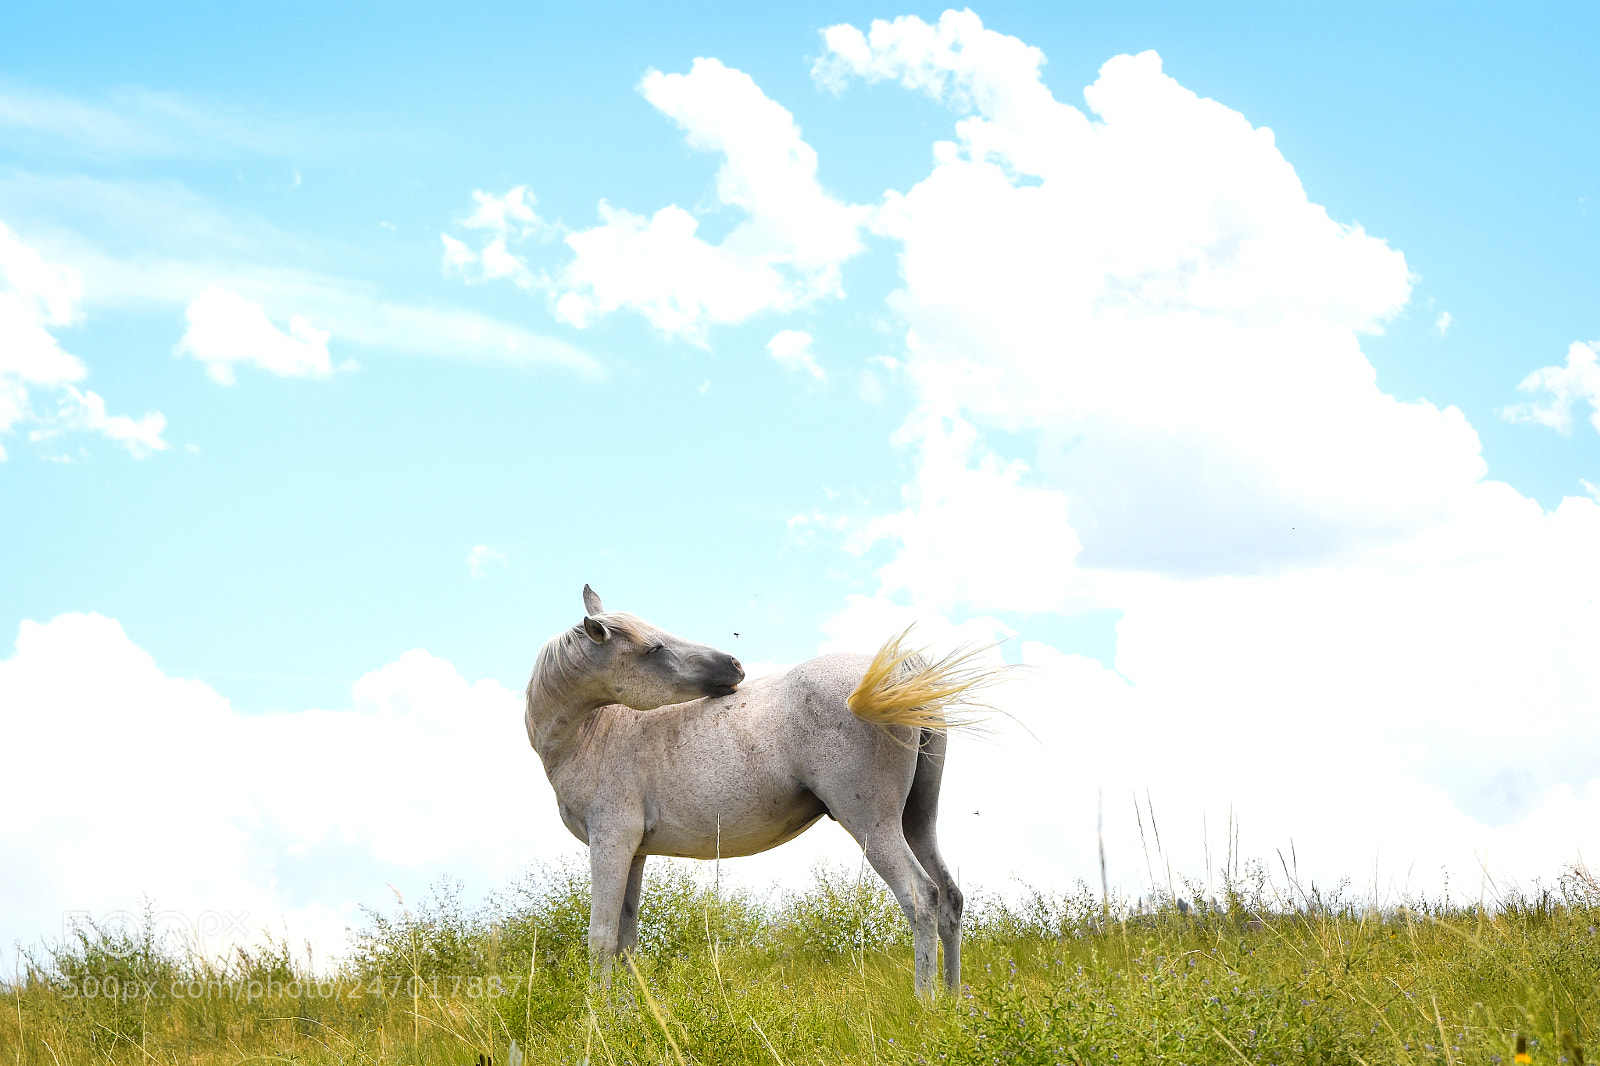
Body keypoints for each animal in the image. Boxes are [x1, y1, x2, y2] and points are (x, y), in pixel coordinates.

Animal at [523, 585, 1000, 995]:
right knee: (949, 900)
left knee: (921, 898)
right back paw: (953, 1003)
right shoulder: (633, 852)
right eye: (654, 648)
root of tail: (902, 672)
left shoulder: (610, 843)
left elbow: (601, 939)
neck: (593, 732)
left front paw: (598, 1020)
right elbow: (625, 942)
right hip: (917, 820)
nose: (733, 665)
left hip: (873, 824)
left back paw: (926, 1004)